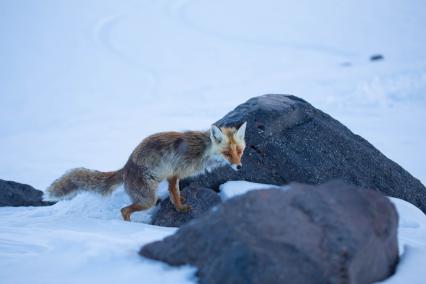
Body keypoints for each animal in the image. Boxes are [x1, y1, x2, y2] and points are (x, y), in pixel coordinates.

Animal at [46, 121, 246, 221]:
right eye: (227, 153)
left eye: (239, 151)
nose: (239, 167)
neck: (202, 150)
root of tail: (125, 167)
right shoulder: (174, 171)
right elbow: (174, 192)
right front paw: (180, 208)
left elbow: (175, 192)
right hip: (148, 200)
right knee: (124, 210)